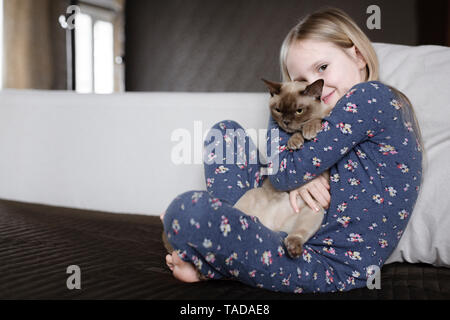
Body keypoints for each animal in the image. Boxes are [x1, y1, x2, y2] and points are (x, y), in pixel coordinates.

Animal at [234, 79, 332, 258]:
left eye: (299, 111)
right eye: (278, 110)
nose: (285, 122)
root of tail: (273, 227)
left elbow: (317, 120)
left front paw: (309, 129)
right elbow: (297, 133)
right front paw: (295, 141)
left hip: (314, 211)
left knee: (296, 234)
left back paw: (293, 249)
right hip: (252, 197)